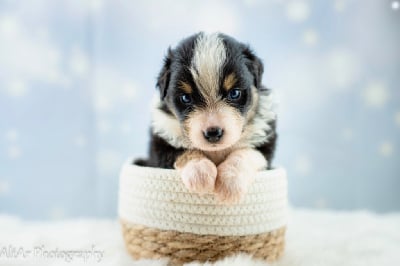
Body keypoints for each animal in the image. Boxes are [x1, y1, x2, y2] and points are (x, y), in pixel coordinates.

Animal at [136, 33, 276, 204]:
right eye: (185, 98)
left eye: (234, 93)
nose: (213, 133)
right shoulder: (160, 141)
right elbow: (181, 151)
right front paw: (200, 173)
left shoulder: (265, 138)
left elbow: (246, 153)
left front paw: (230, 182)